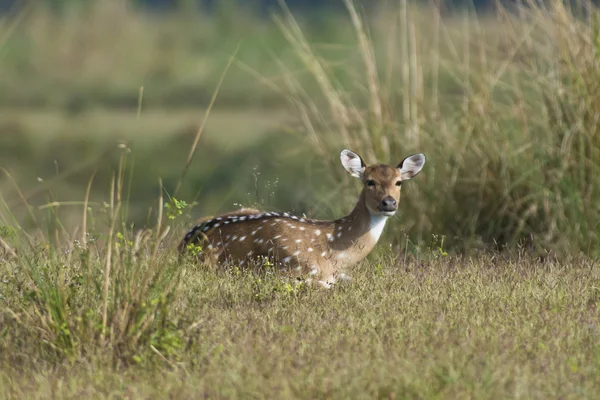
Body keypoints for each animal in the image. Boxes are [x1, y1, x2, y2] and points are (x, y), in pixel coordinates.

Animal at [179, 149, 426, 288]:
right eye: (370, 181)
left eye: (398, 182)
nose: (388, 203)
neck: (334, 252)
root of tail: (185, 244)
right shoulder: (292, 269)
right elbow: (327, 285)